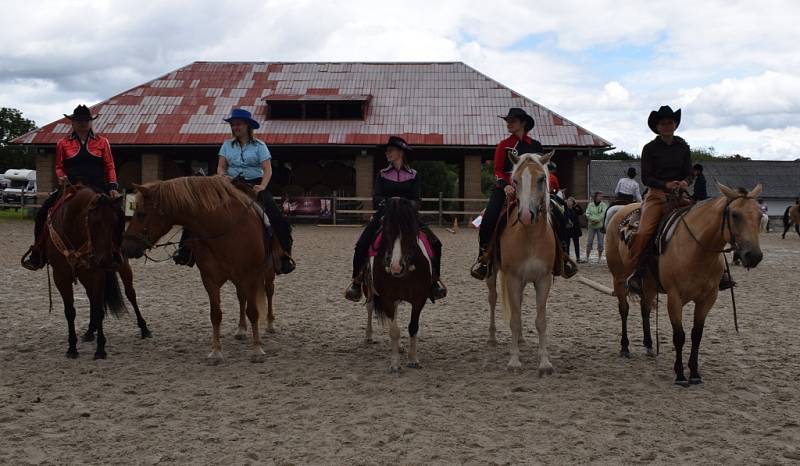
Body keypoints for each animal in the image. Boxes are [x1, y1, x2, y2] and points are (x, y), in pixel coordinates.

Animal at [43, 184, 151, 358]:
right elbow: (70, 311)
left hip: (121, 268)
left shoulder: (97, 274)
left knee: (130, 294)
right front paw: (72, 348)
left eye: (116, 222)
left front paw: (100, 349)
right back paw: (89, 331)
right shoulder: (60, 276)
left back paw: (144, 328)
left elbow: (100, 309)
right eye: (94, 223)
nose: (107, 259)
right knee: (92, 299)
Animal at [121, 175, 276, 364]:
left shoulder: (250, 276)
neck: (224, 228)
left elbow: (253, 312)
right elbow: (215, 314)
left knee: (269, 292)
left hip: (266, 273)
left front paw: (257, 350)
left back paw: (270, 324)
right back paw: (241, 329)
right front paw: (216, 352)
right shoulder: (210, 279)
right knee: (241, 297)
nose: (126, 247)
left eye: (141, 214)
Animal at [366, 196, 434, 372]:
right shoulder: (387, 299)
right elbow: (394, 331)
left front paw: (413, 359)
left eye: (410, 231)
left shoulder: (419, 300)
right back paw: (368, 336)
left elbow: (413, 327)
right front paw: (395, 363)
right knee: (370, 307)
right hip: (370, 290)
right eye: (387, 231)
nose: (396, 267)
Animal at [484, 151, 560, 376]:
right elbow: (515, 320)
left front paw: (544, 362)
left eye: (542, 179)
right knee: (493, 299)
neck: (530, 237)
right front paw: (514, 361)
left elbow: (541, 321)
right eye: (515, 181)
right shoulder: (513, 279)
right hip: (493, 274)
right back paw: (492, 337)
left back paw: (521, 340)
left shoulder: (543, 280)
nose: (526, 215)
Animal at [608, 183, 764, 386]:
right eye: (735, 214)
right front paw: (680, 374)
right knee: (624, 310)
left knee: (645, 310)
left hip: (648, 285)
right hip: (618, 279)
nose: (754, 256)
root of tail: (621, 211)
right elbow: (679, 336)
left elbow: (696, 335)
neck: (696, 250)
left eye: (760, 215)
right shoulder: (675, 298)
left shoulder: (708, 298)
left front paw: (695, 373)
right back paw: (625, 347)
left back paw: (649, 346)